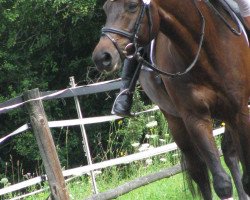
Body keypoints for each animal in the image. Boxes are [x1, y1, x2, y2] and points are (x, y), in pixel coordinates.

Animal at [92, 0, 250, 199]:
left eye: (132, 6)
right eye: (106, 9)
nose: (102, 57)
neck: (204, 49)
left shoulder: (240, 111)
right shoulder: (195, 118)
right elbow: (221, 183)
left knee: (229, 154)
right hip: (176, 121)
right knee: (200, 170)